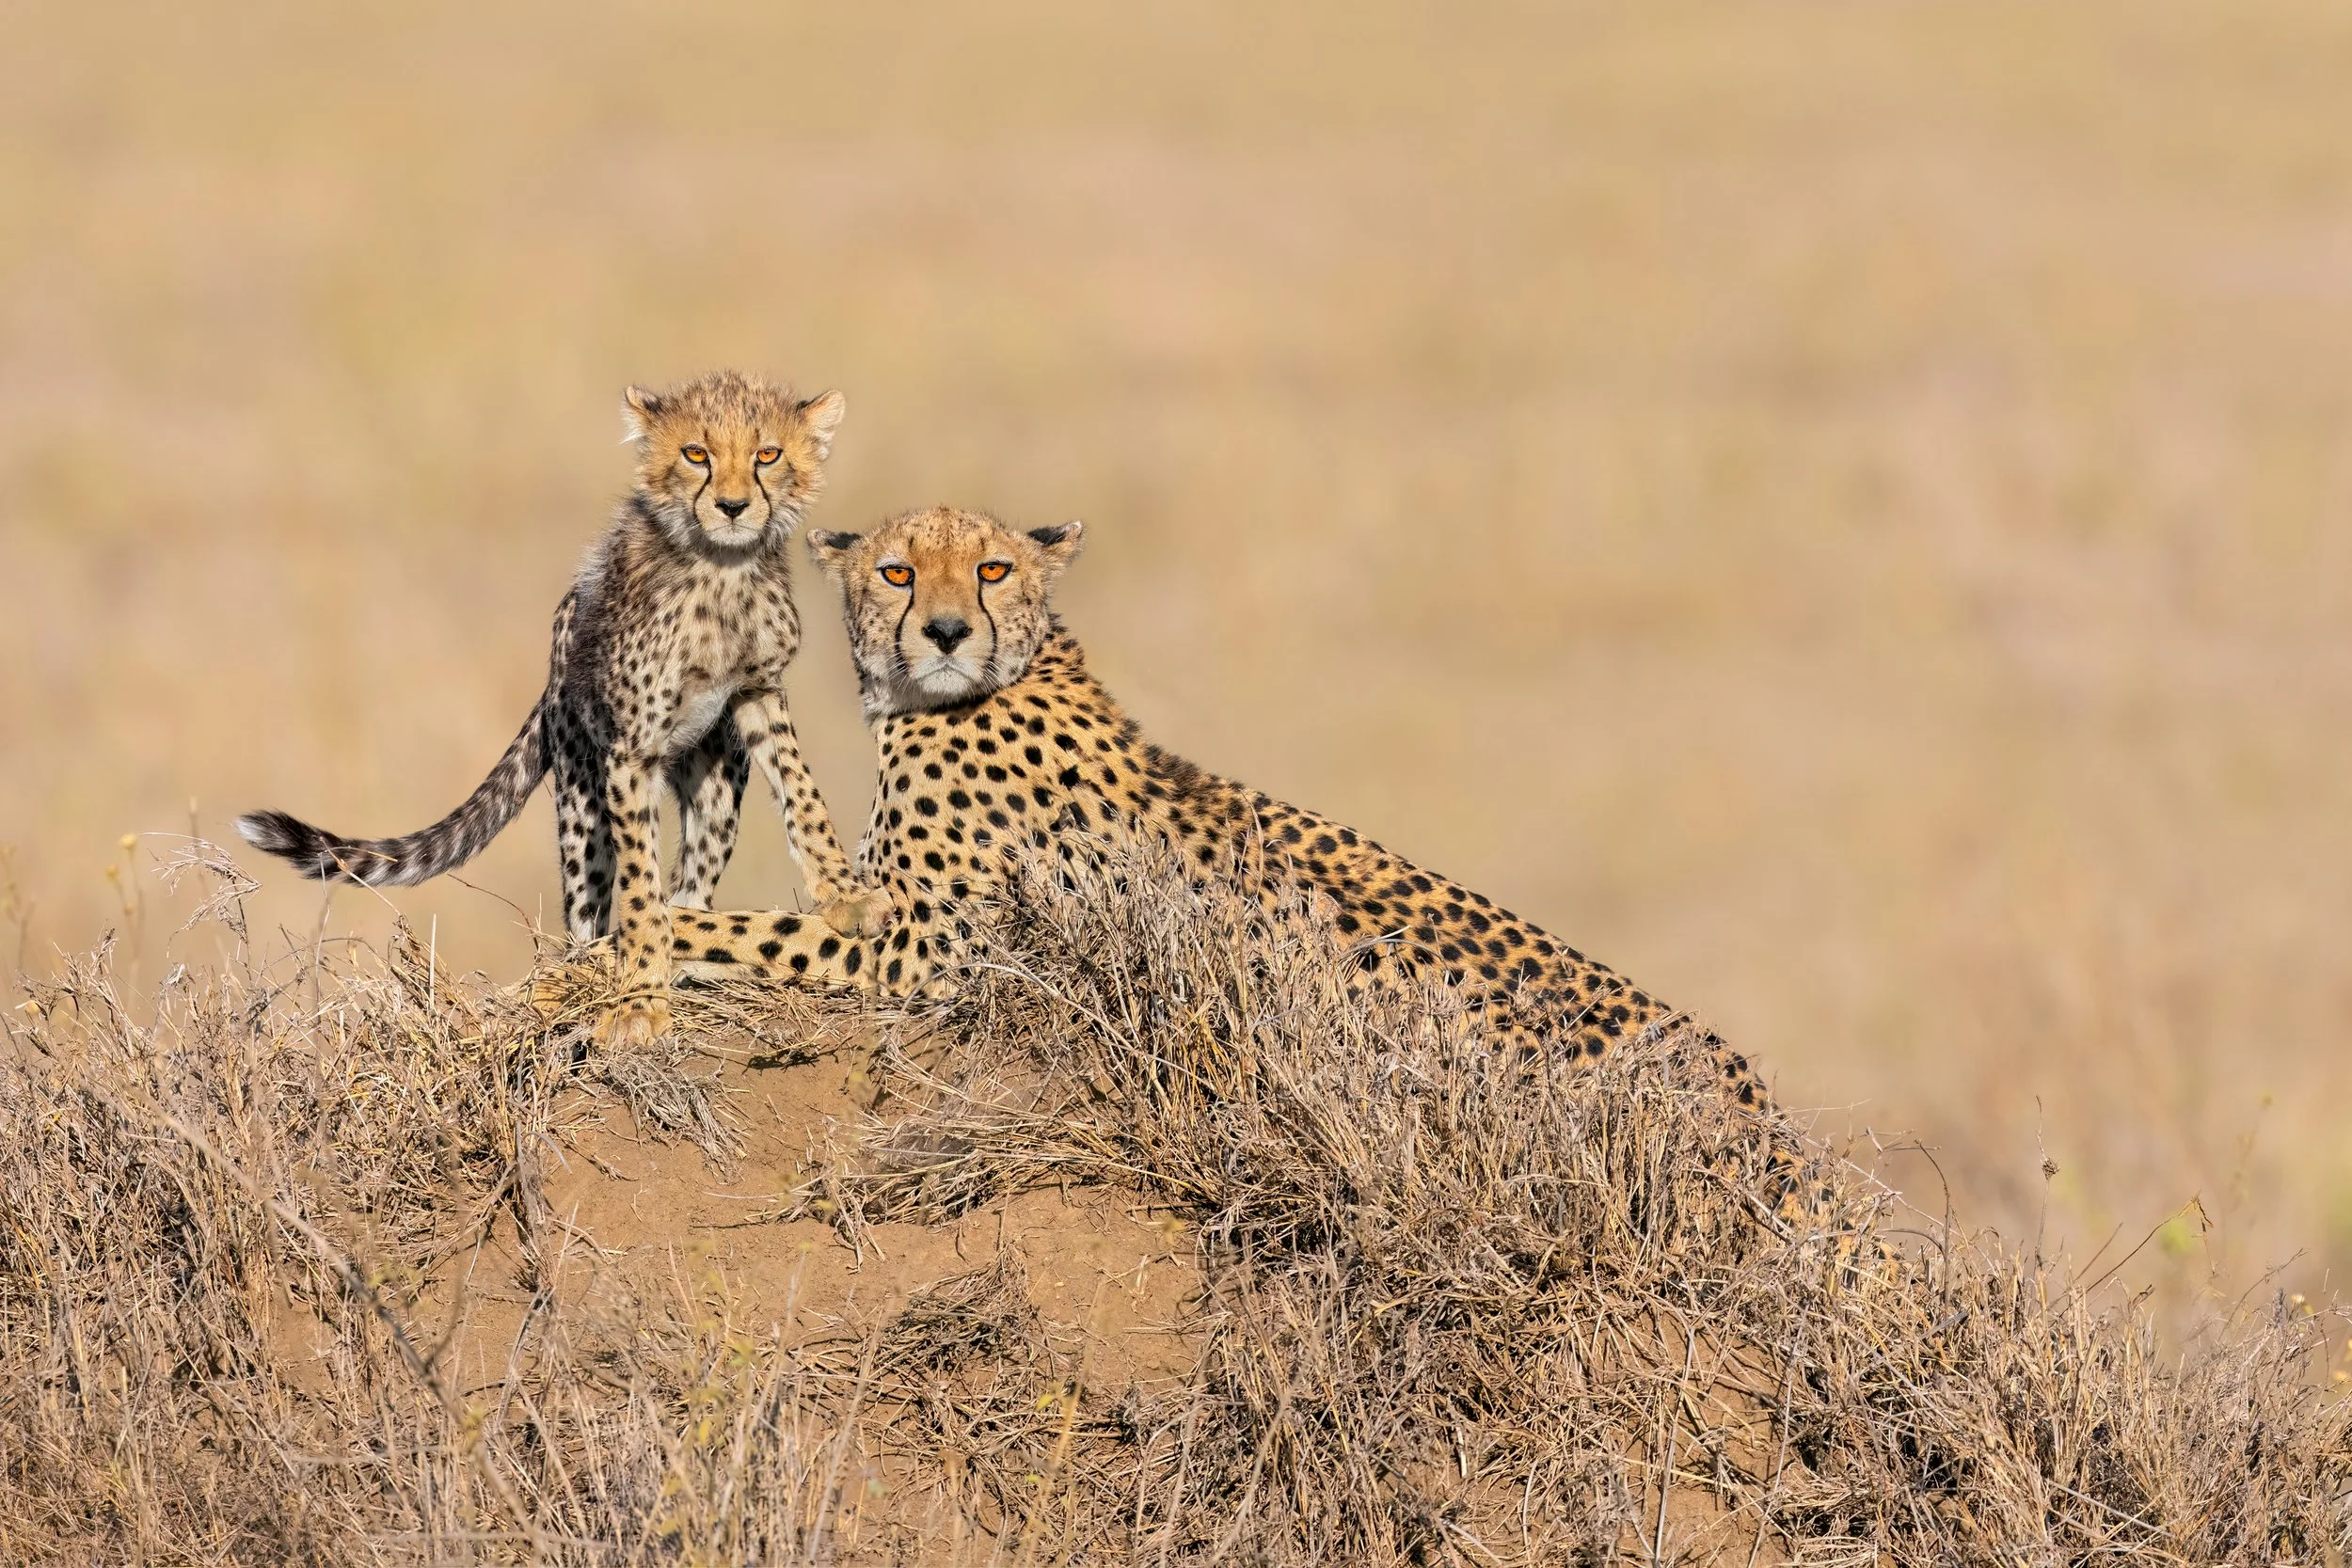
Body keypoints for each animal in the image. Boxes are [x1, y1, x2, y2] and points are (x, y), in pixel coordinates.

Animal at [238, 369, 888, 1047]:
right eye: (695, 454)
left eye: (768, 454)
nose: (733, 506)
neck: (721, 569)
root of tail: (551, 675)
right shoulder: (631, 750)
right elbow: (639, 889)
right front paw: (641, 997)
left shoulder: (758, 691)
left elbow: (802, 794)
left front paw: (847, 897)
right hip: (583, 805)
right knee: (594, 912)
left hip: (715, 788)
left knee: (690, 888)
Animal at [659, 504, 1767, 1109]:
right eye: (896, 571)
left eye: (991, 568)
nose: (942, 631)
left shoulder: (922, 950)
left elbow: (743, 929)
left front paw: (642, 942)